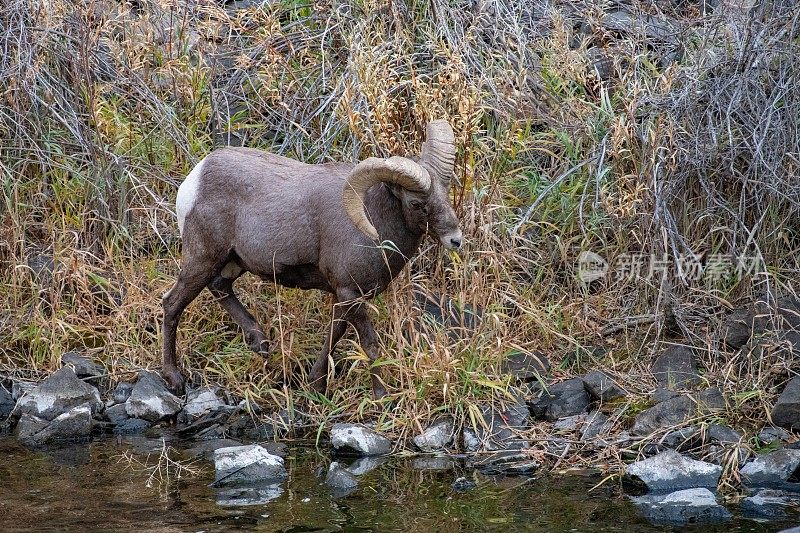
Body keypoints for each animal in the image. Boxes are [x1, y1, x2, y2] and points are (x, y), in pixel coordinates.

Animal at [161, 118, 462, 396]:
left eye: (445, 193)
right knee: (172, 304)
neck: (373, 220)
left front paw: (316, 383)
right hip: (203, 259)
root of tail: (193, 181)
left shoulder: (346, 297)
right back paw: (174, 379)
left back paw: (261, 344)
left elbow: (334, 336)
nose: (455, 239)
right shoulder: (350, 293)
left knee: (220, 288)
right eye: (416, 203)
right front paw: (381, 396)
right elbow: (369, 344)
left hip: (231, 262)